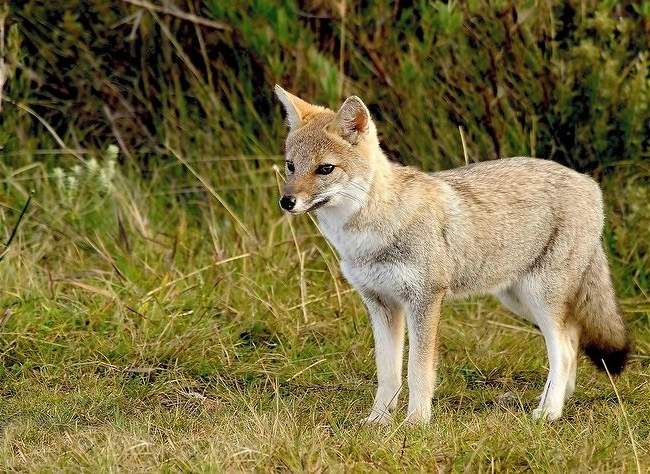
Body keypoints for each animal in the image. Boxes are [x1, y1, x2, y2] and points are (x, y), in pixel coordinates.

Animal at [272, 84, 628, 422]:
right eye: (291, 166)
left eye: (325, 169)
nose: (286, 202)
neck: (369, 233)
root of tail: (588, 182)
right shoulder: (381, 304)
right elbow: (387, 374)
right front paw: (378, 421)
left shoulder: (425, 301)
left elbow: (417, 373)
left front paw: (416, 422)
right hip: (520, 302)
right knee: (572, 339)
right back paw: (555, 401)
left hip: (540, 298)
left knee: (564, 351)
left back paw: (550, 412)